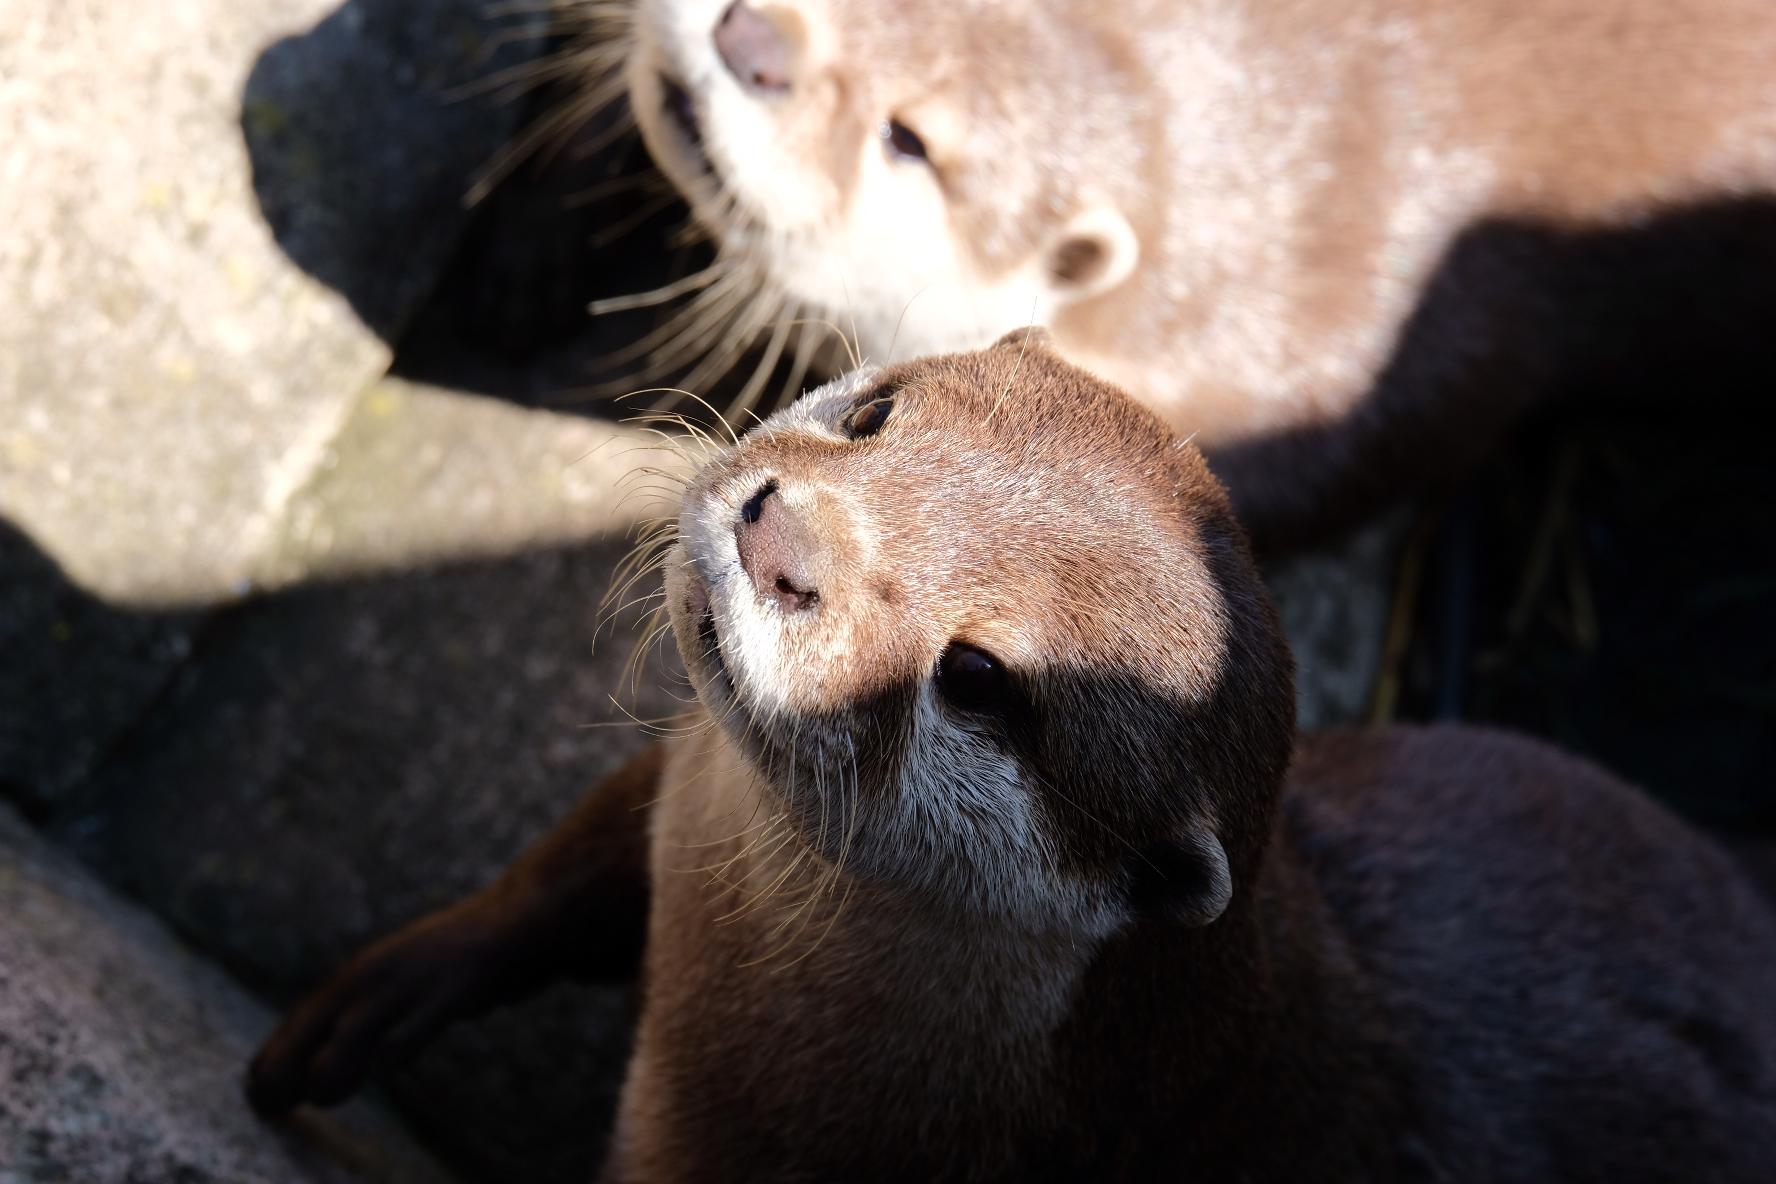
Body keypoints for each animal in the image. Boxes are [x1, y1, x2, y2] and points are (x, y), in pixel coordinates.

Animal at [247, 334, 1776, 1180]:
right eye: (876, 412)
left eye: (980, 679)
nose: (777, 529)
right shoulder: (680, 796)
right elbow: (556, 882)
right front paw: (372, 1001)